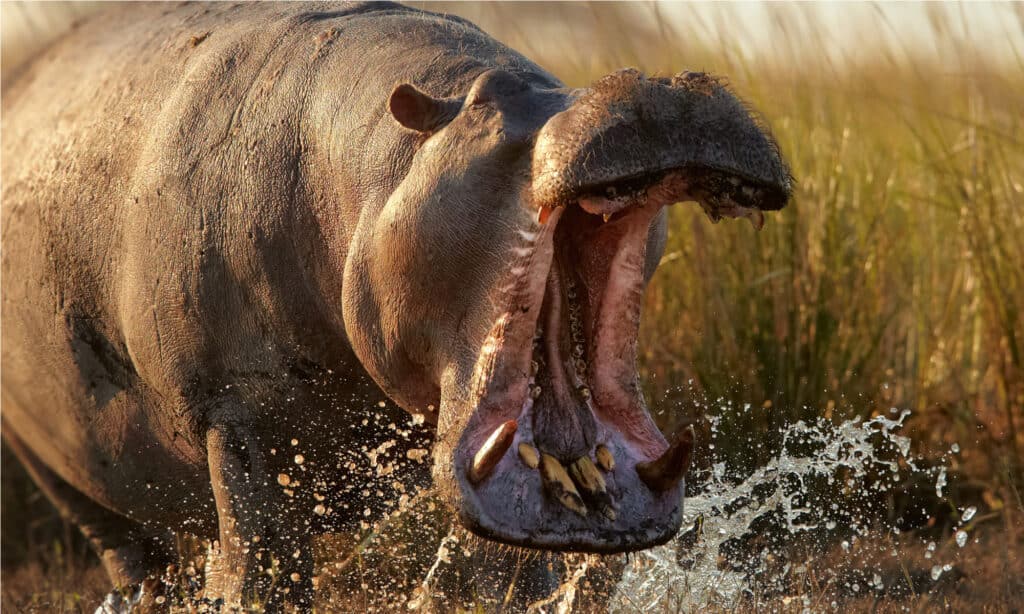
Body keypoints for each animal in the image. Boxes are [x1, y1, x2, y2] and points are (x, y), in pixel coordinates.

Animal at [0, 0, 790, 609]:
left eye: (556, 81)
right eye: (485, 103)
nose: (663, 88)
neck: (377, 161)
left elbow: (507, 576)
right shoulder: (231, 411)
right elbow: (263, 571)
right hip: (68, 481)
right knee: (135, 558)